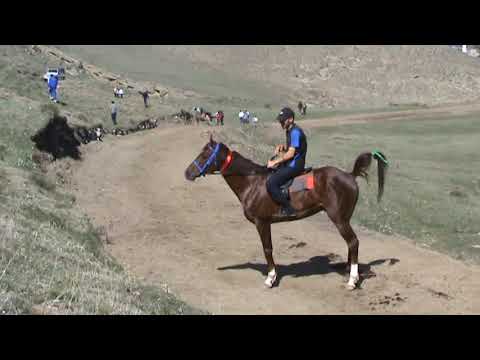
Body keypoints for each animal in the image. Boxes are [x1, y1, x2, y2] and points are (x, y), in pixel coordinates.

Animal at [182, 135, 388, 290]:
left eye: (204, 155)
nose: (187, 173)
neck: (252, 183)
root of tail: (350, 175)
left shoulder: (262, 222)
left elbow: (267, 248)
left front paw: (271, 278)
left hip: (339, 218)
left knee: (353, 242)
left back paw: (352, 280)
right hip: (344, 218)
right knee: (350, 244)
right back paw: (349, 272)